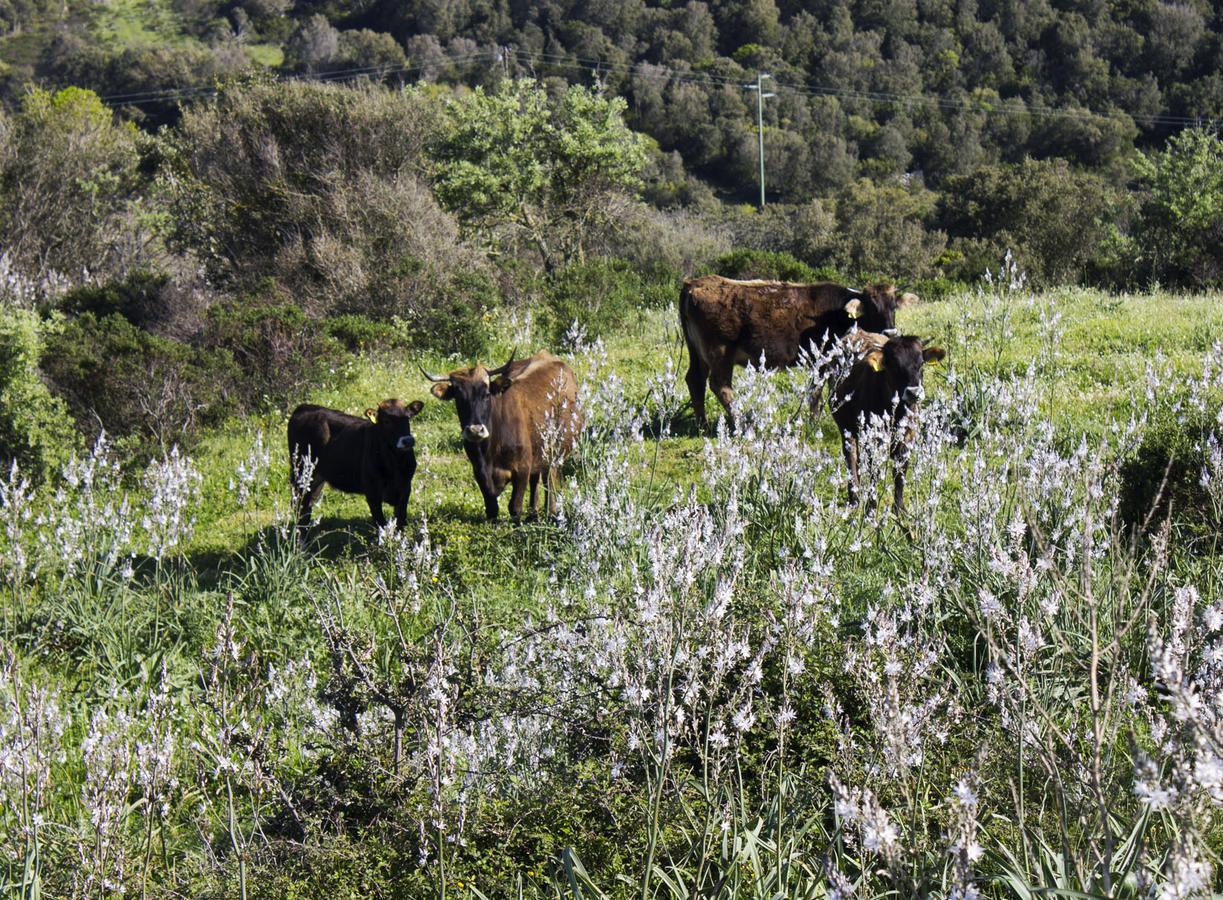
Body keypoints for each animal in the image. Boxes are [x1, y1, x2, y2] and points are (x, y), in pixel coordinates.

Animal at [287, 396, 425, 530]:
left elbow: (401, 522)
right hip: (300, 474)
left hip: (316, 479)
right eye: (386, 421)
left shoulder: (406, 488)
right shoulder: (372, 492)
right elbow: (381, 523)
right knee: (298, 505)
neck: (394, 465)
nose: (408, 441)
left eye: (408, 417)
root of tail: (304, 407)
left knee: (307, 506)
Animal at [420, 352, 582, 520]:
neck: (491, 449)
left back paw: (551, 511)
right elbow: (492, 509)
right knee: (536, 480)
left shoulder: (522, 469)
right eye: (458, 398)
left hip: (555, 453)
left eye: (486, 394)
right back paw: (533, 513)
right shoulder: (479, 472)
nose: (475, 430)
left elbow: (515, 507)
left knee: (549, 479)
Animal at [679, 273, 919, 427]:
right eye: (871, 307)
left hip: (698, 353)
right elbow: (816, 393)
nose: (889, 332)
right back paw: (738, 422)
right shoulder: (822, 360)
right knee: (720, 386)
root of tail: (694, 283)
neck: (837, 313)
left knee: (695, 380)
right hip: (719, 352)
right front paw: (813, 423)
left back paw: (702, 425)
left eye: (893, 306)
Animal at [831, 335, 944, 513]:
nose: (914, 393)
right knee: (851, 458)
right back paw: (854, 499)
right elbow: (874, 473)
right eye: (895, 366)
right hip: (846, 429)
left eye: (921, 363)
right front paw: (871, 509)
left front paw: (899, 509)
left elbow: (900, 473)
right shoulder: (873, 440)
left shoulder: (907, 439)